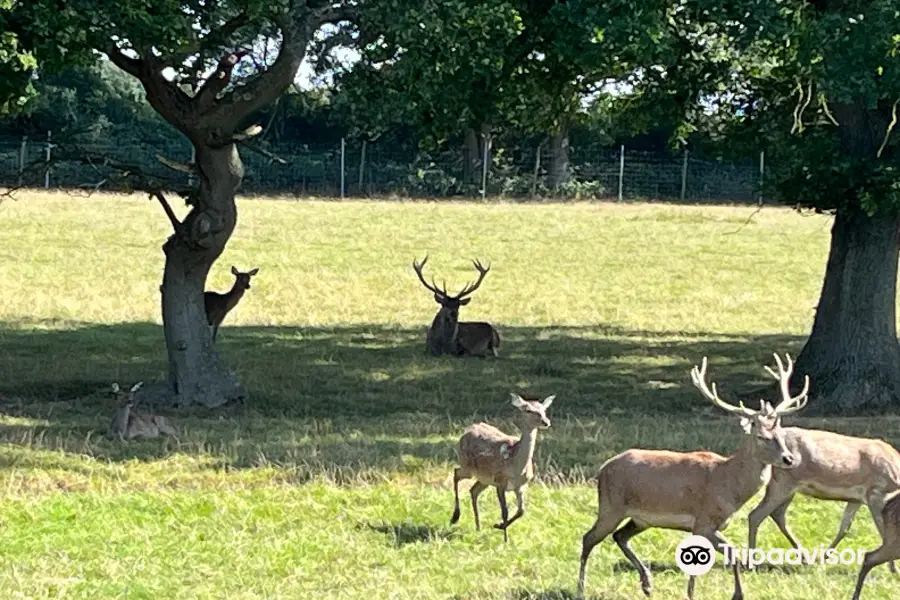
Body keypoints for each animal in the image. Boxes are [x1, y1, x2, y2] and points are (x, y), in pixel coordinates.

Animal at [576, 354, 816, 600]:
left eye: (780, 434)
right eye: (761, 436)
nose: (789, 459)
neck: (728, 484)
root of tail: (603, 468)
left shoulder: (714, 524)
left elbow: (733, 553)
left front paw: (736, 594)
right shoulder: (703, 520)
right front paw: (692, 594)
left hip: (640, 518)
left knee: (619, 536)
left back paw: (647, 584)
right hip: (610, 505)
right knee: (589, 538)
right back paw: (581, 588)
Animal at [740, 364, 900, 576]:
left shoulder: (856, 498)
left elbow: (845, 527)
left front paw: (824, 558)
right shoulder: (877, 493)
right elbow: (883, 530)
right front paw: (894, 569)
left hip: (789, 486)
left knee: (777, 514)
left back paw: (805, 557)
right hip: (782, 482)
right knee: (756, 515)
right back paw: (751, 563)